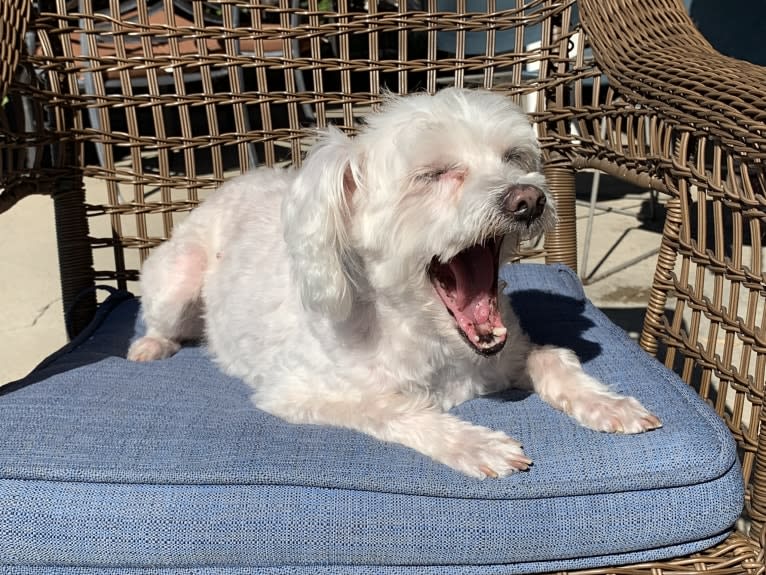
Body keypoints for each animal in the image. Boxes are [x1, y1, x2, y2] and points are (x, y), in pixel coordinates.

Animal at [129, 88, 664, 480]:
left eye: (515, 158)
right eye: (434, 174)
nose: (528, 199)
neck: (428, 335)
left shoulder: (509, 352)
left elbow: (553, 357)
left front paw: (607, 403)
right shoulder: (296, 393)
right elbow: (393, 408)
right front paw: (475, 443)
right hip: (178, 278)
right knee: (162, 315)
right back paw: (152, 345)